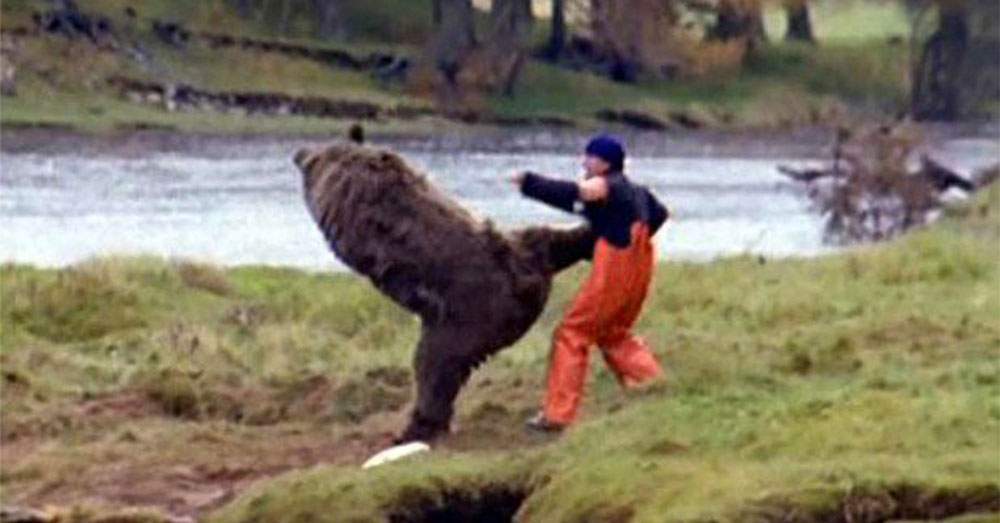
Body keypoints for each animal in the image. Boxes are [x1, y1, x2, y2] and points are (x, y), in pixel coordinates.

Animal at [292, 140, 592, 442]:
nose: (299, 153)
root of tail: (527, 284)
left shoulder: (349, 199)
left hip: (464, 318)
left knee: (434, 367)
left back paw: (415, 428)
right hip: (522, 248)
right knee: (552, 239)